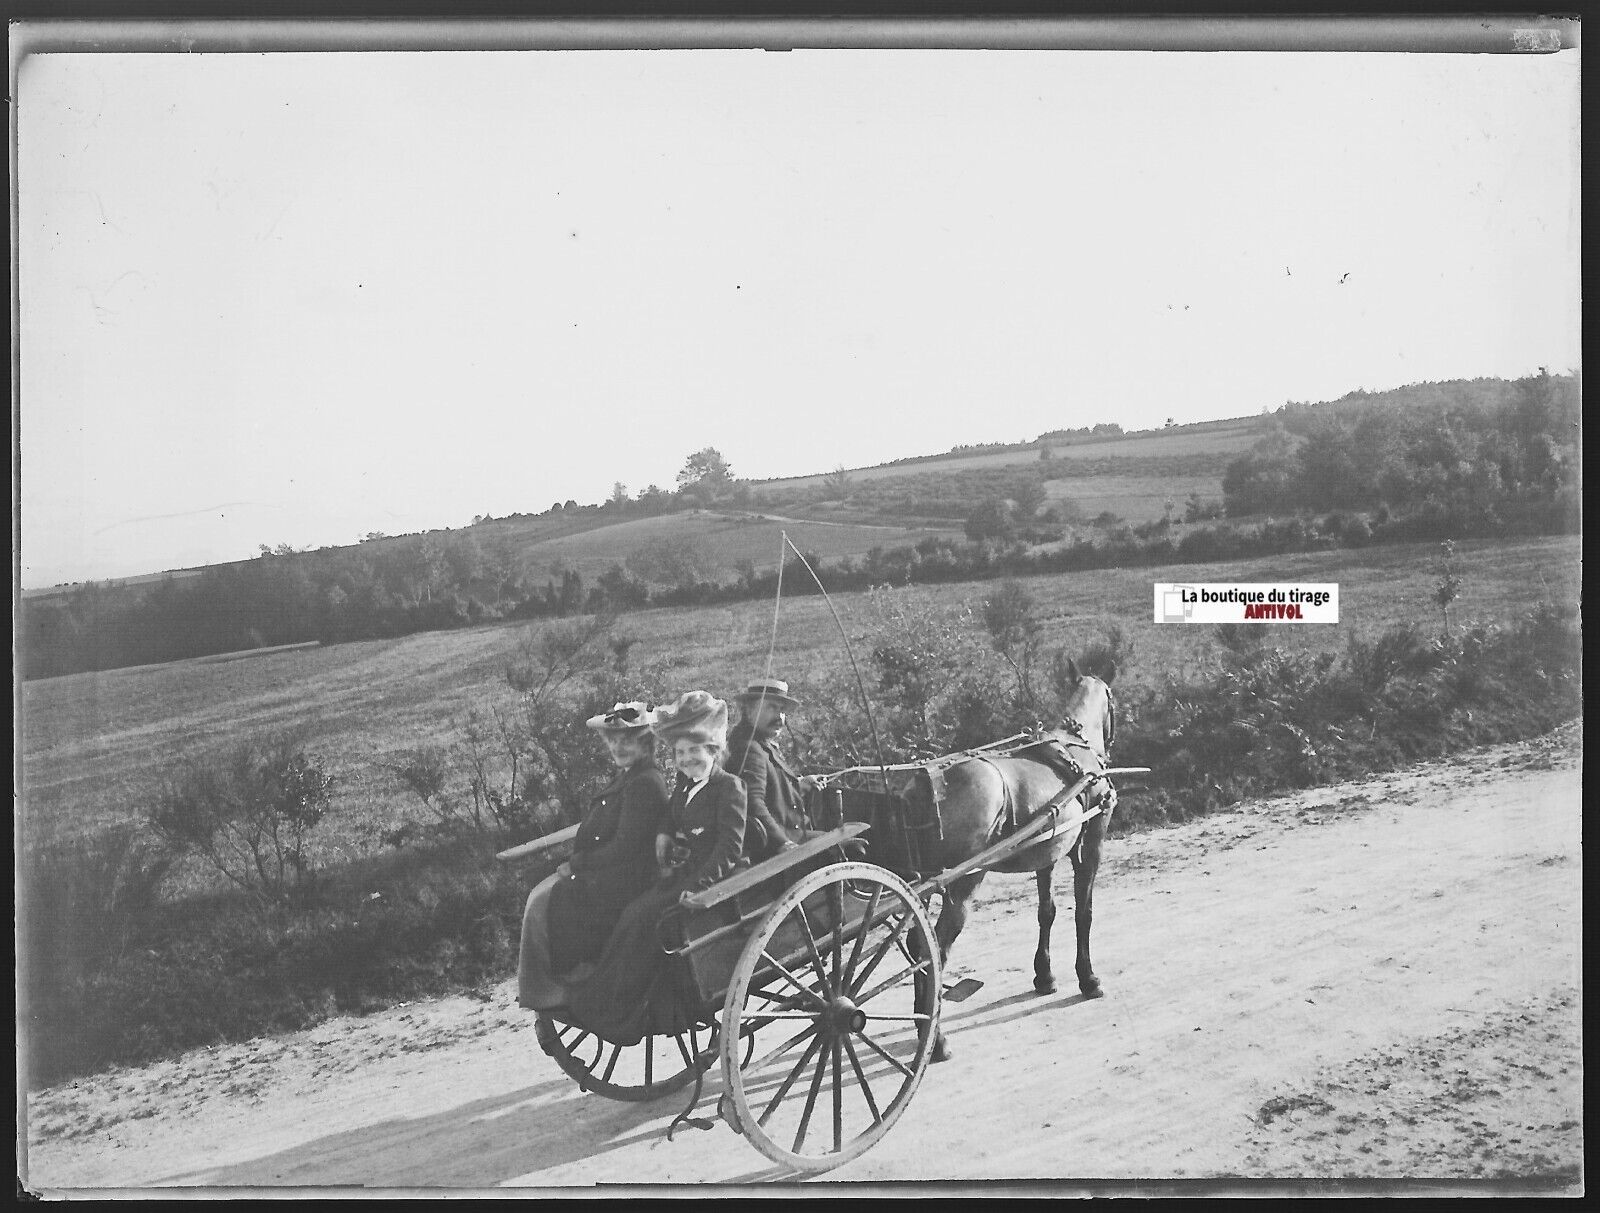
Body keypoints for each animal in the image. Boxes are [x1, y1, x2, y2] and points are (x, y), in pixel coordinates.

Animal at [915, 665, 1113, 1062]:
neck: (1076, 748)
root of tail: (931, 786)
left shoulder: (1047, 852)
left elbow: (1047, 912)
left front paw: (1045, 976)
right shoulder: (1091, 844)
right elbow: (1083, 912)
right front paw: (1088, 979)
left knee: (916, 948)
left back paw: (921, 1025)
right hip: (962, 886)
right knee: (935, 953)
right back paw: (938, 1040)